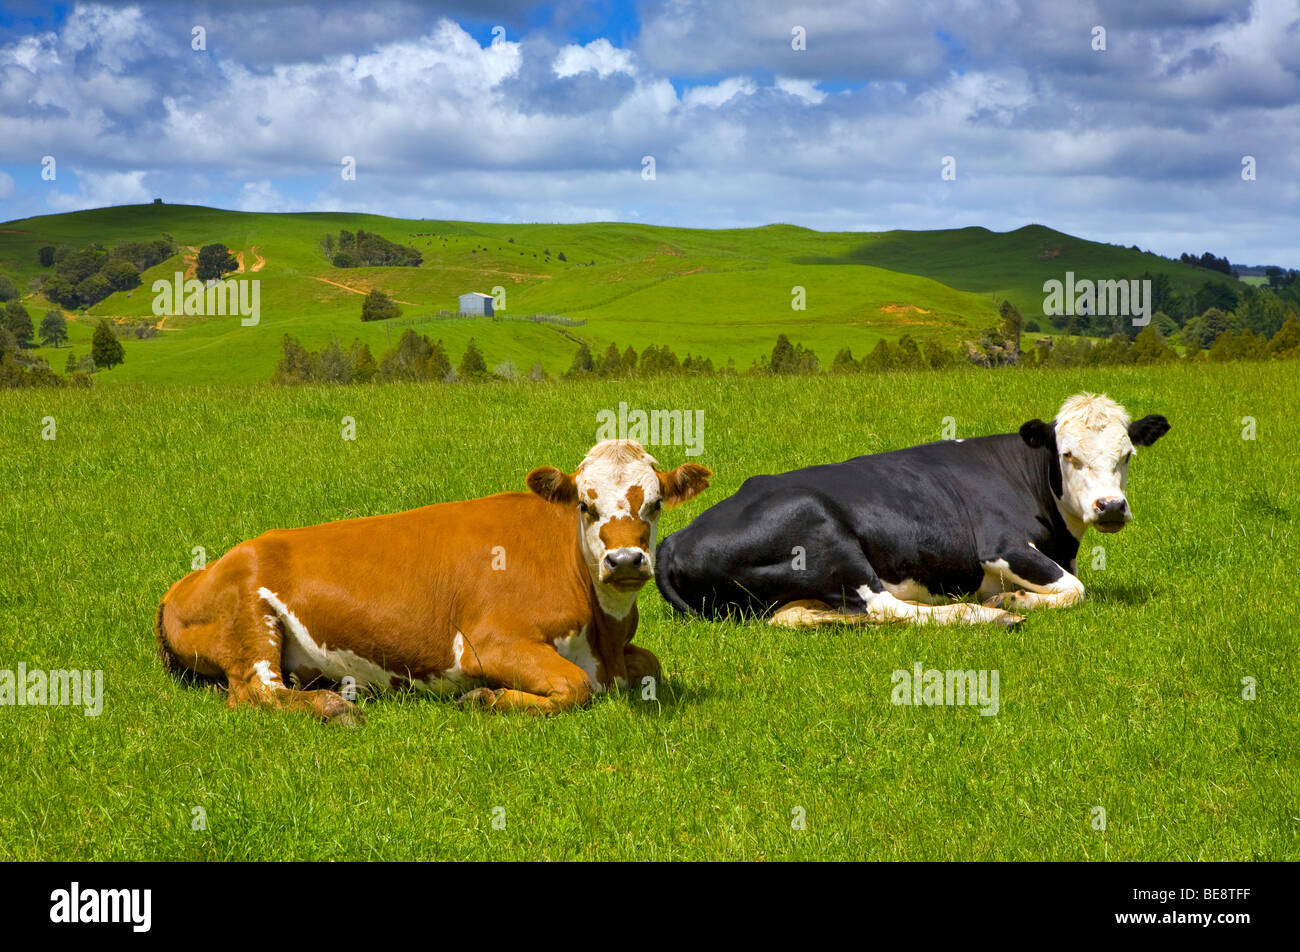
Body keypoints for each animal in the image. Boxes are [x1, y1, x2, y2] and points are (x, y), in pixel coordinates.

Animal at [155, 440, 711, 722]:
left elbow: (650, 665)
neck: (604, 637)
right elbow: (576, 687)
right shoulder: (487, 643)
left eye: (655, 503)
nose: (624, 560)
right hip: (251, 623)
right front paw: (485, 698)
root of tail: (199, 572)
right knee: (258, 692)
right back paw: (334, 707)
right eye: (584, 504)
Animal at [655, 394, 1168, 629]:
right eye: (1068, 455)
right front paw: (1013, 600)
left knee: (803, 616)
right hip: (822, 534)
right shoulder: (999, 546)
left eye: (1127, 455)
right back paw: (985, 614)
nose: (1111, 507)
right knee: (886, 605)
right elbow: (1076, 589)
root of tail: (671, 542)